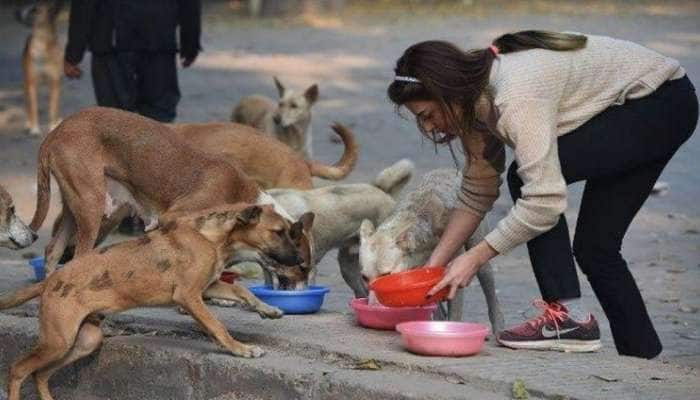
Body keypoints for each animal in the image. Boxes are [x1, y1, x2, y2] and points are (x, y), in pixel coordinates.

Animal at [2, 203, 308, 400]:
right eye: (278, 231)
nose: (302, 262)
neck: (211, 238)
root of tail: (50, 280)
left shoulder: (209, 287)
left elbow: (245, 293)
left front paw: (268, 309)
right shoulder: (189, 296)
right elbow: (217, 326)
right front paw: (239, 349)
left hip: (84, 340)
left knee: (41, 374)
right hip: (58, 341)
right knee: (19, 369)